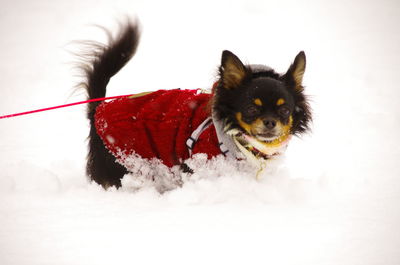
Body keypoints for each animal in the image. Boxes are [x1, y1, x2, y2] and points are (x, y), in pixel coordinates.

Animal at [79, 21, 312, 189]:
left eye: (284, 110)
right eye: (251, 109)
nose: (270, 122)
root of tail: (97, 109)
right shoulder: (198, 164)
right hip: (123, 160)